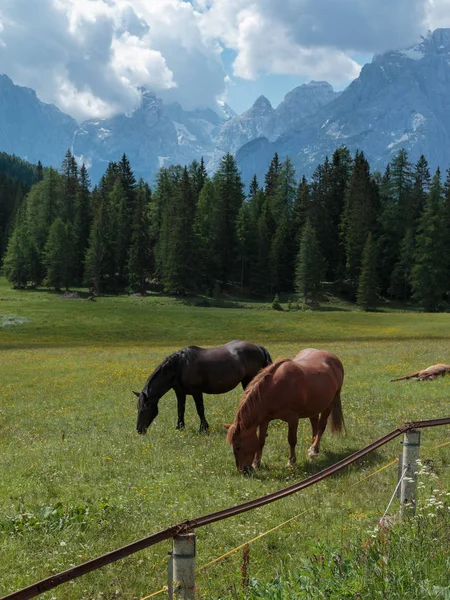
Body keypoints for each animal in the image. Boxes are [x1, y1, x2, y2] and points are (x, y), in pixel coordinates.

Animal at [135, 340, 272, 434]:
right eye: (138, 407)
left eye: (145, 408)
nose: (139, 430)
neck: (180, 366)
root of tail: (258, 348)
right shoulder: (180, 393)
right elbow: (180, 410)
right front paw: (180, 427)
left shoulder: (196, 391)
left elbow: (200, 409)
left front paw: (203, 428)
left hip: (250, 380)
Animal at [225, 346, 344, 474]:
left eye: (237, 446)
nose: (243, 470)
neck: (274, 389)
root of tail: (335, 359)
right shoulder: (264, 420)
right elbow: (261, 441)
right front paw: (257, 464)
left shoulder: (293, 418)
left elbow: (291, 440)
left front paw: (291, 462)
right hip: (313, 407)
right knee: (315, 426)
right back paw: (313, 450)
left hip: (330, 403)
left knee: (321, 427)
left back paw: (313, 450)